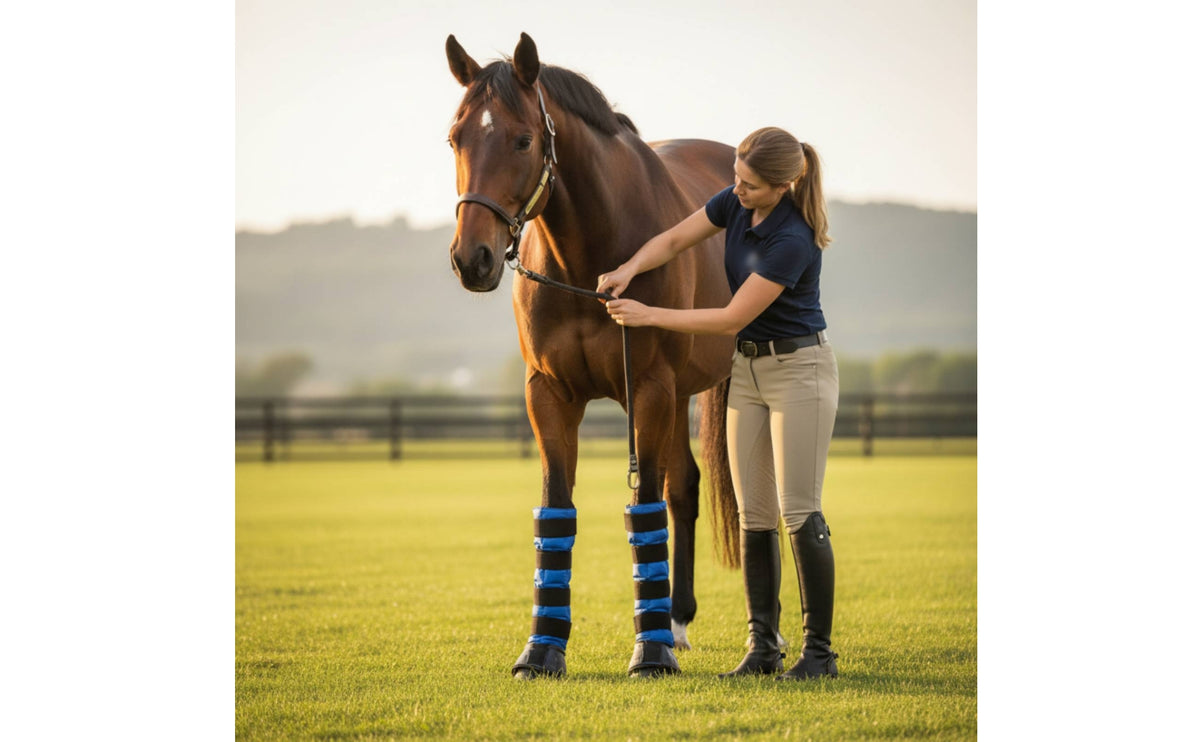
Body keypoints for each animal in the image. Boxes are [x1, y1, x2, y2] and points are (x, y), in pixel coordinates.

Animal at [445, 32, 740, 678]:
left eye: (523, 139)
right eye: (455, 137)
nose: (471, 259)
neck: (588, 259)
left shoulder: (649, 387)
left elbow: (643, 500)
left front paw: (650, 652)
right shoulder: (550, 394)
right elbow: (557, 505)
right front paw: (541, 649)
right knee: (684, 487)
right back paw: (676, 620)